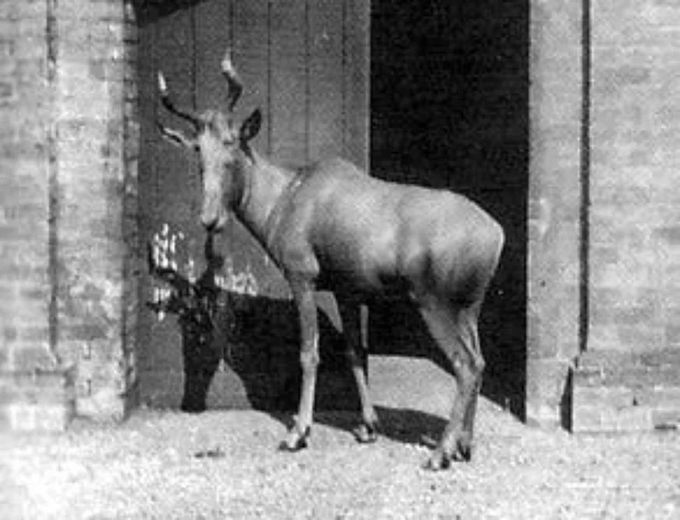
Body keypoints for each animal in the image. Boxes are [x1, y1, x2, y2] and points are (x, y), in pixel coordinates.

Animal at [157, 49, 504, 469]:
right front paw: (368, 427)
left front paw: (297, 433)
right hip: (469, 310)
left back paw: (440, 453)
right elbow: (355, 351)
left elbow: (309, 353)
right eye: (198, 150)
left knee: (465, 365)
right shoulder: (347, 291)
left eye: (232, 143)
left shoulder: (302, 279)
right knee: (480, 361)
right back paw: (464, 445)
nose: (210, 220)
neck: (293, 192)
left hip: (434, 306)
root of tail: (493, 232)